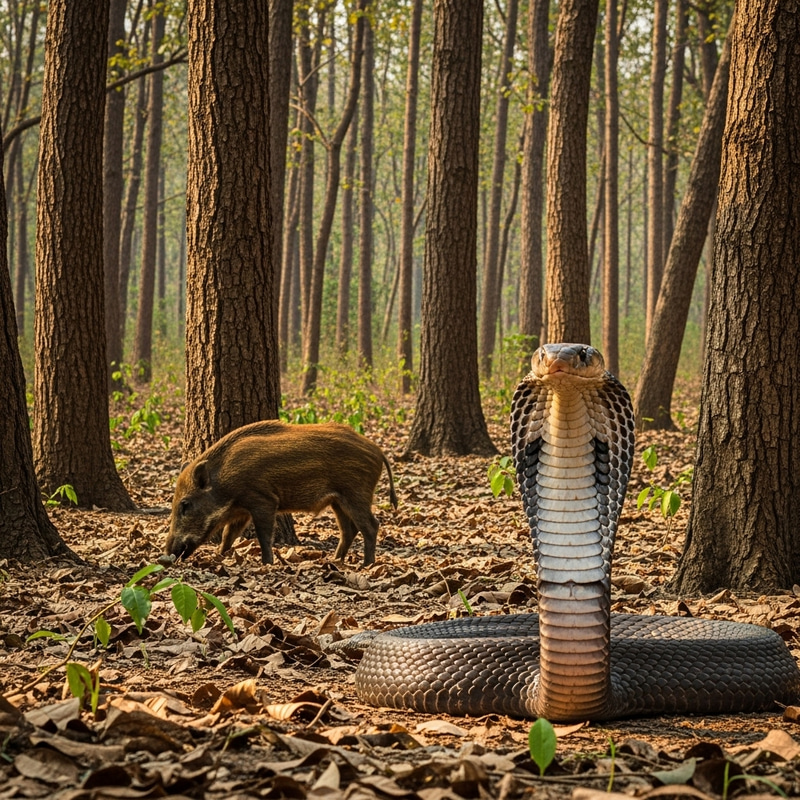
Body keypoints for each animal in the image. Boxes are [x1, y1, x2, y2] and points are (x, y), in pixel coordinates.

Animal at [165, 420, 397, 566]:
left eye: (185, 504)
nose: (166, 554)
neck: (225, 482)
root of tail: (378, 451)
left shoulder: (263, 500)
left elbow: (264, 535)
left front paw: (267, 563)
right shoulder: (241, 511)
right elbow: (228, 535)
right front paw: (220, 556)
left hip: (356, 493)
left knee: (371, 525)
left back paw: (367, 565)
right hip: (338, 501)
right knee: (349, 530)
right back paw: (335, 561)